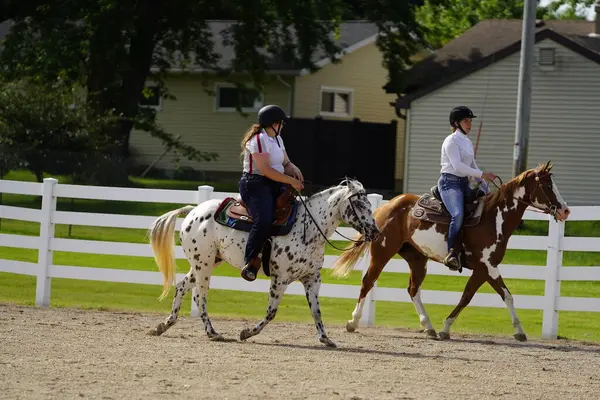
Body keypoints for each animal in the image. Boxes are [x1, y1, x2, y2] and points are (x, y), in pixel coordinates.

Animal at [148, 178, 380, 346]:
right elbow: (271, 312)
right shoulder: (280, 278)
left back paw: (163, 325)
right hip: (203, 264)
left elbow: (316, 311)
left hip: (207, 262)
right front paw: (246, 332)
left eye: (369, 203)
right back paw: (212, 332)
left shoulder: (312, 278)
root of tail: (193, 211)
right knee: (200, 295)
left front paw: (326, 338)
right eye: (359, 203)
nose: (375, 232)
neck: (307, 228)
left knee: (182, 287)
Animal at [332, 161, 572, 342]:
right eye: (547, 184)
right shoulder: (488, 267)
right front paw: (519, 331)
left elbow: (470, 297)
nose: (565, 210)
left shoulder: (482, 269)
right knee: (368, 281)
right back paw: (353, 322)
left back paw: (428, 326)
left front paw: (445, 328)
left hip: (417, 259)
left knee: (413, 290)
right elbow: (506, 295)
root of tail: (384, 207)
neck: (494, 218)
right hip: (382, 252)